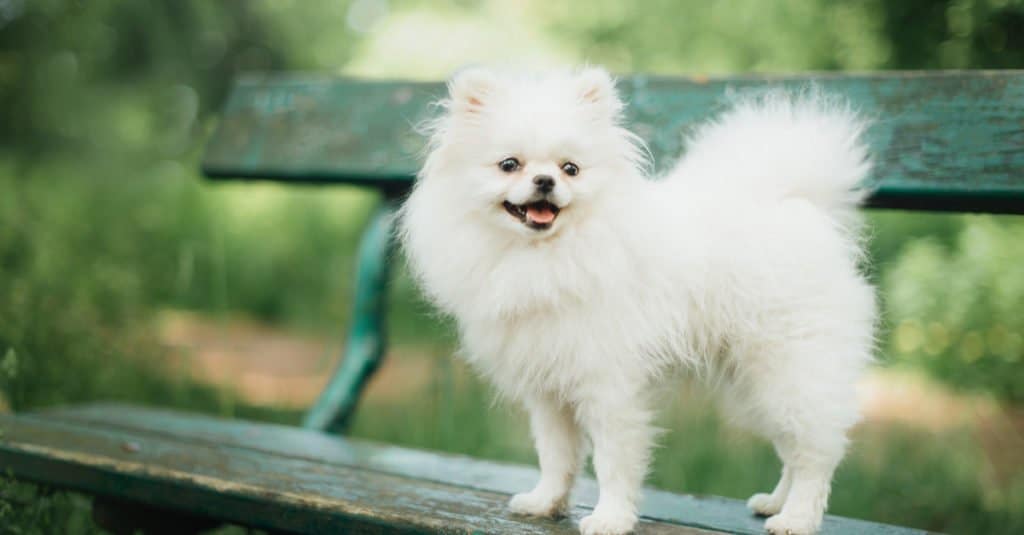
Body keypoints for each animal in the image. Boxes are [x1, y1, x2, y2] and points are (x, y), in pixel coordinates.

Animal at [395, 67, 876, 532]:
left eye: (571, 169)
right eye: (509, 165)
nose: (545, 180)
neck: (545, 256)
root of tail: (797, 203)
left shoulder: (609, 384)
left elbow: (612, 461)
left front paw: (610, 518)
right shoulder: (549, 387)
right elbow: (555, 455)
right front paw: (546, 502)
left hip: (790, 366)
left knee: (815, 451)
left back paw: (797, 518)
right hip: (752, 381)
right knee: (792, 445)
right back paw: (774, 502)